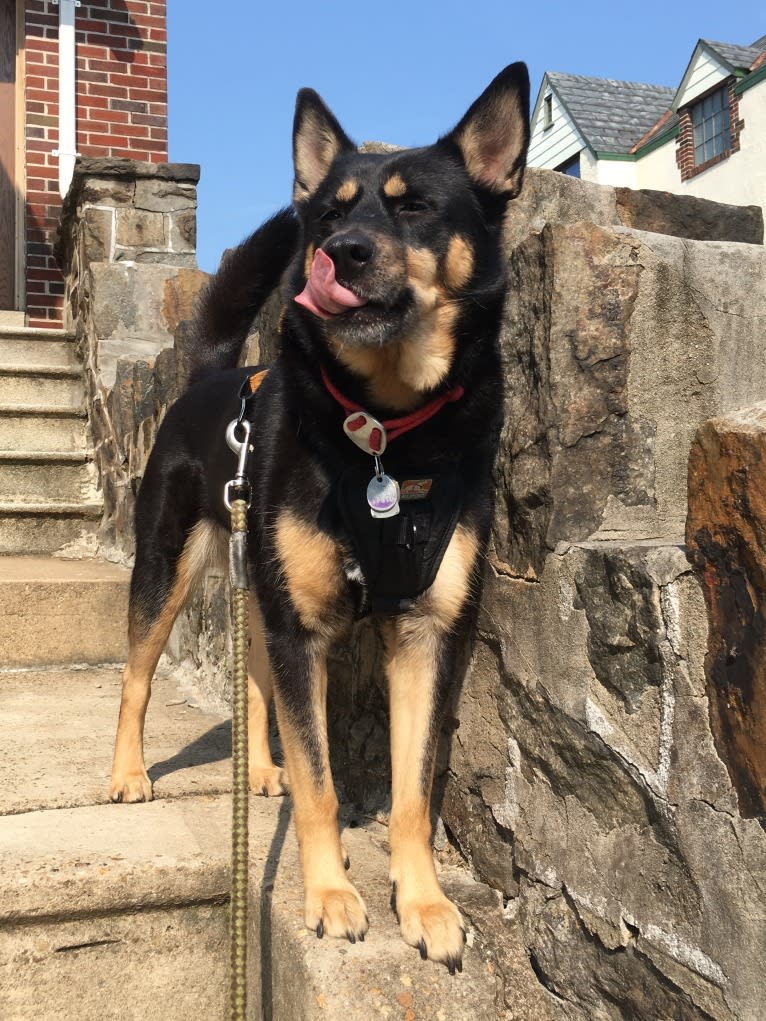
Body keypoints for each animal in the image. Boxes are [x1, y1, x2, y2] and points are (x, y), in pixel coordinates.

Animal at [109, 63, 527, 971]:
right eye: (330, 213)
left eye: (413, 207)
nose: (342, 252)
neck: (387, 431)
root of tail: (211, 375)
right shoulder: (305, 627)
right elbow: (323, 785)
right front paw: (332, 894)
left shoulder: (426, 630)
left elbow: (410, 793)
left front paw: (426, 902)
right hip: (168, 567)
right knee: (136, 675)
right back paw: (127, 772)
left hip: (259, 582)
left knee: (256, 677)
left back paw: (261, 768)